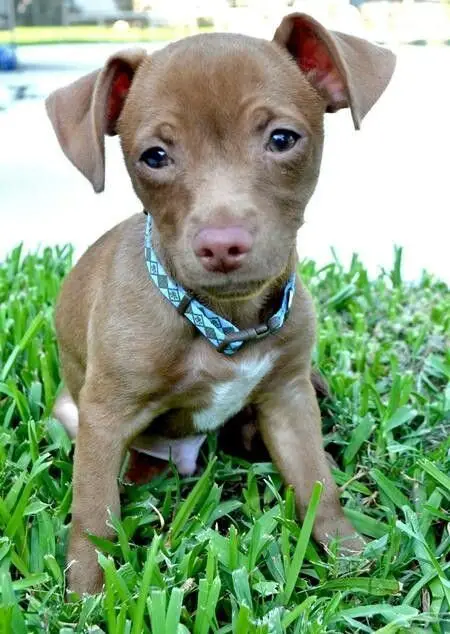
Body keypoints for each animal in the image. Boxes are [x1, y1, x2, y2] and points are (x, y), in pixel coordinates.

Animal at [47, 14, 396, 592]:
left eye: (282, 139)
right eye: (154, 156)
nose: (221, 244)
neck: (225, 323)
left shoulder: (288, 399)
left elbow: (318, 485)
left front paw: (352, 565)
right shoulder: (104, 416)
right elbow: (93, 515)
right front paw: (89, 597)